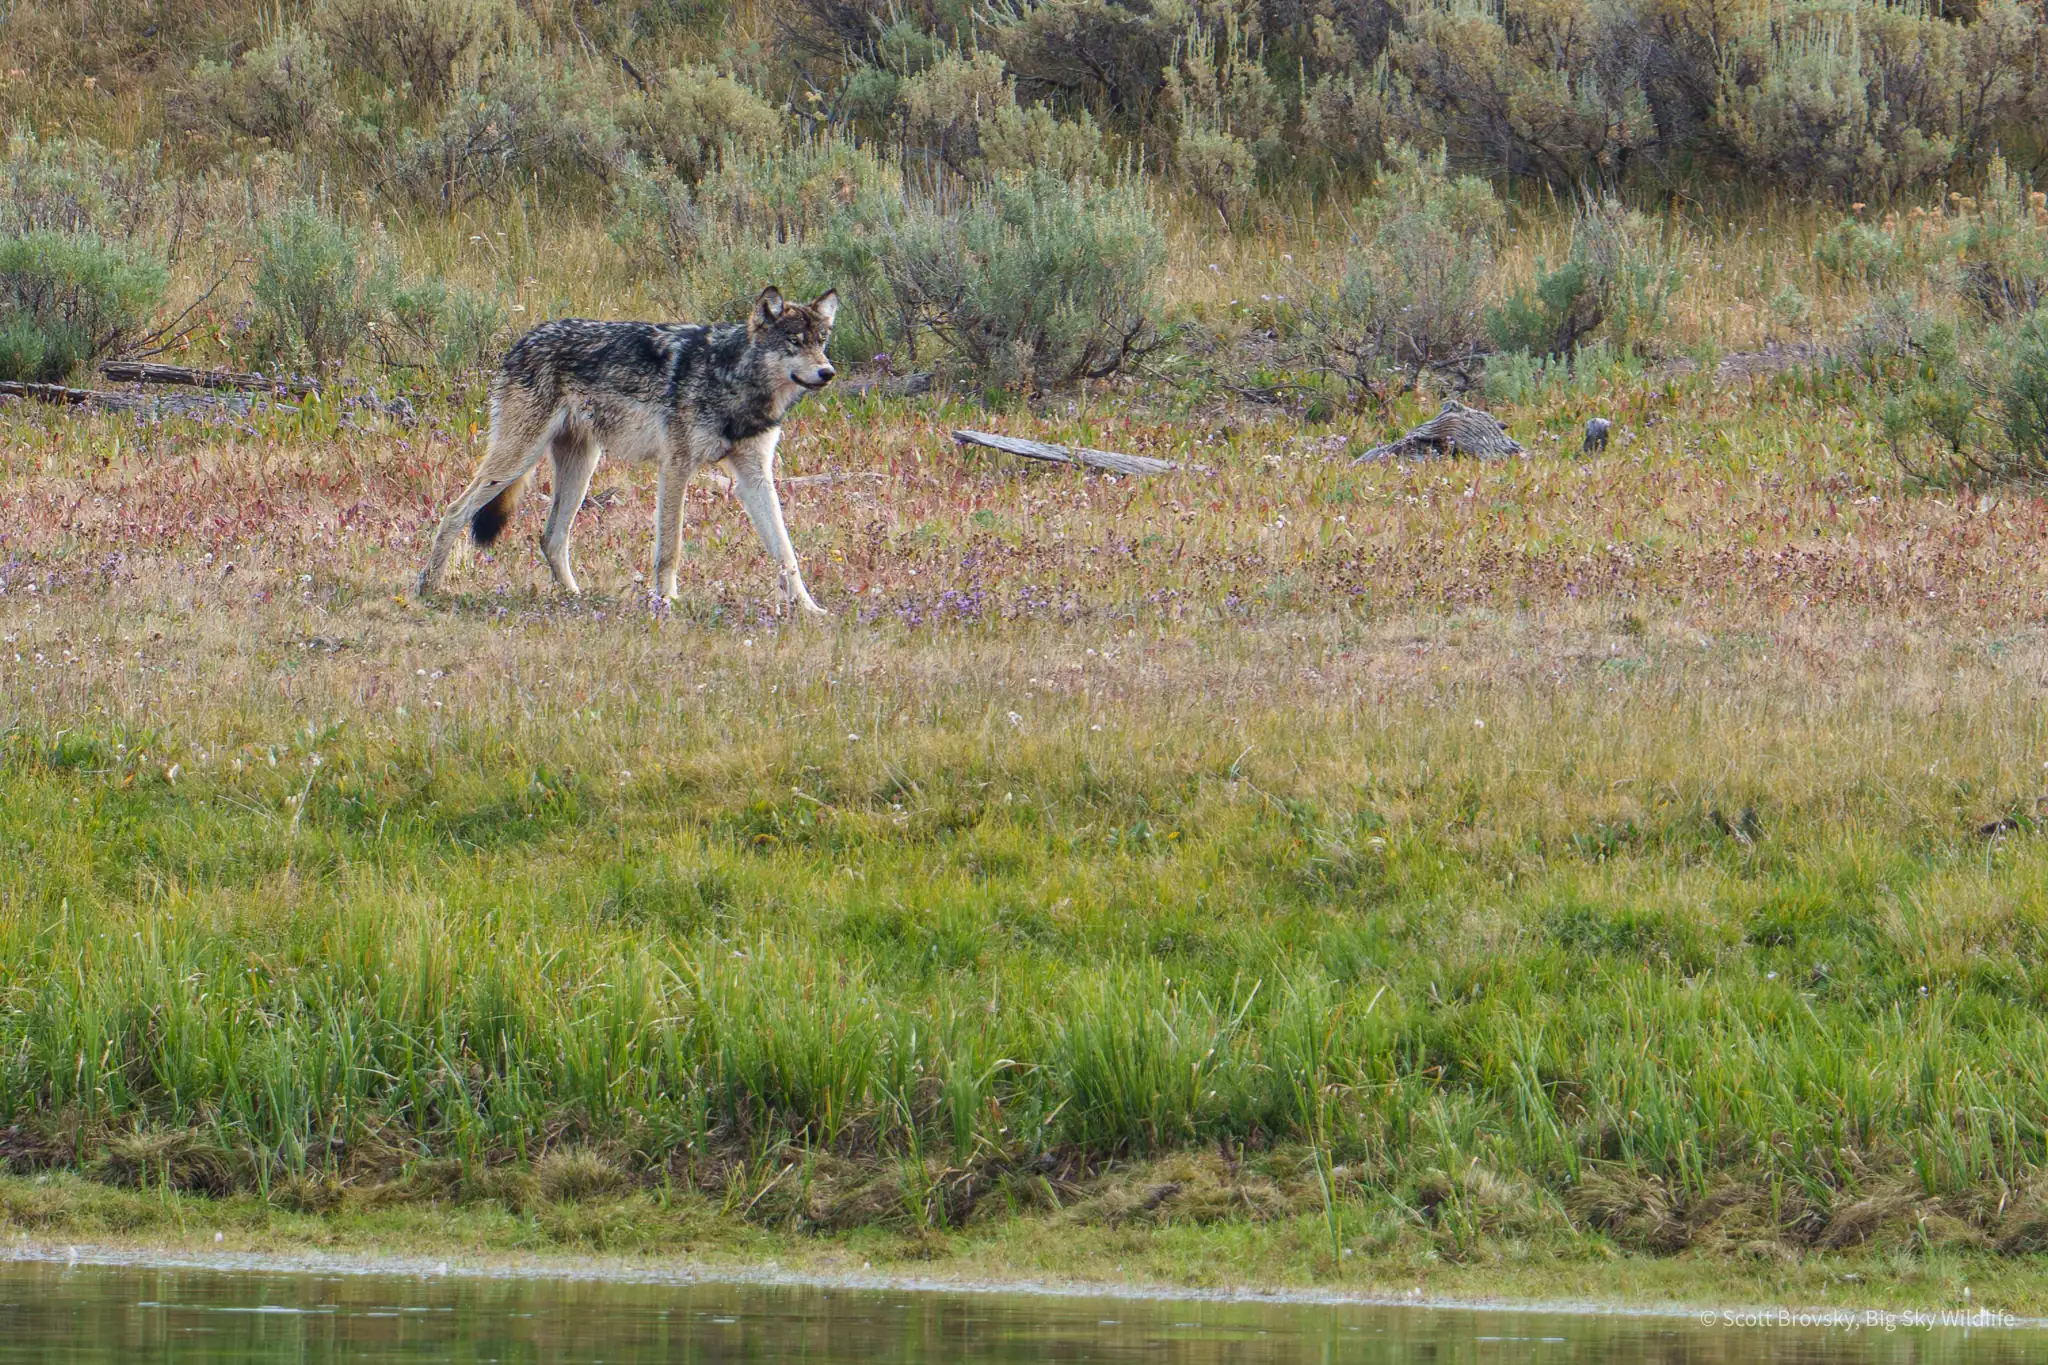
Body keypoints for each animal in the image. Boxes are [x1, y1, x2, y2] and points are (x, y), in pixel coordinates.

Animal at [417, 286, 838, 614]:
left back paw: (575, 598)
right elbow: (669, 549)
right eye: (794, 343)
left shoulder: (755, 479)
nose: (828, 373)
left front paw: (809, 609)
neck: (731, 378)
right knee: (454, 512)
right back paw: (428, 587)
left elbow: (786, 554)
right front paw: (666, 602)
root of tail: (523, 339)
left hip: (579, 468)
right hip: (517, 460)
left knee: (551, 537)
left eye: (821, 342)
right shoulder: (676, 468)